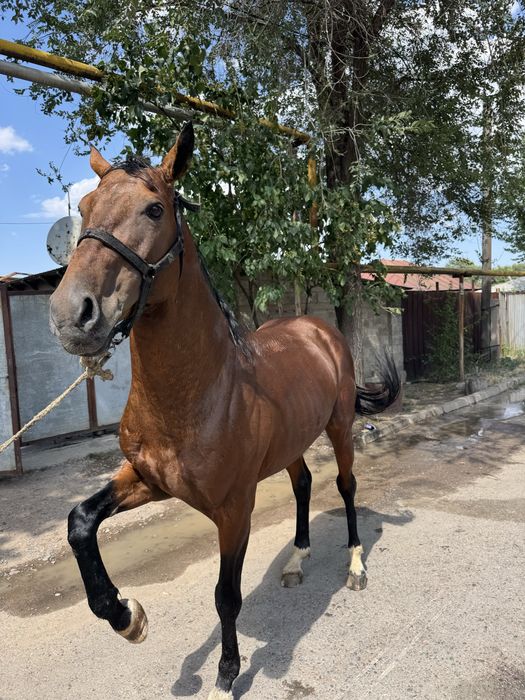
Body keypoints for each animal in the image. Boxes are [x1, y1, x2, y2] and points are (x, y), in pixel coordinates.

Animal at [49, 122, 399, 700]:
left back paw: (354, 566)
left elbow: (225, 596)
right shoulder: (147, 479)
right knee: (304, 483)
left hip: (339, 427)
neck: (199, 395)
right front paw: (127, 618)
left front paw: (226, 675)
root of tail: (317, 329)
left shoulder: (235, 509)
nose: (71, 315)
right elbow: (80, 522)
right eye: (85, 205)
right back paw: (297, 558)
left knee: (346, 487)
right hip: (292, 442)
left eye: (154, 209)